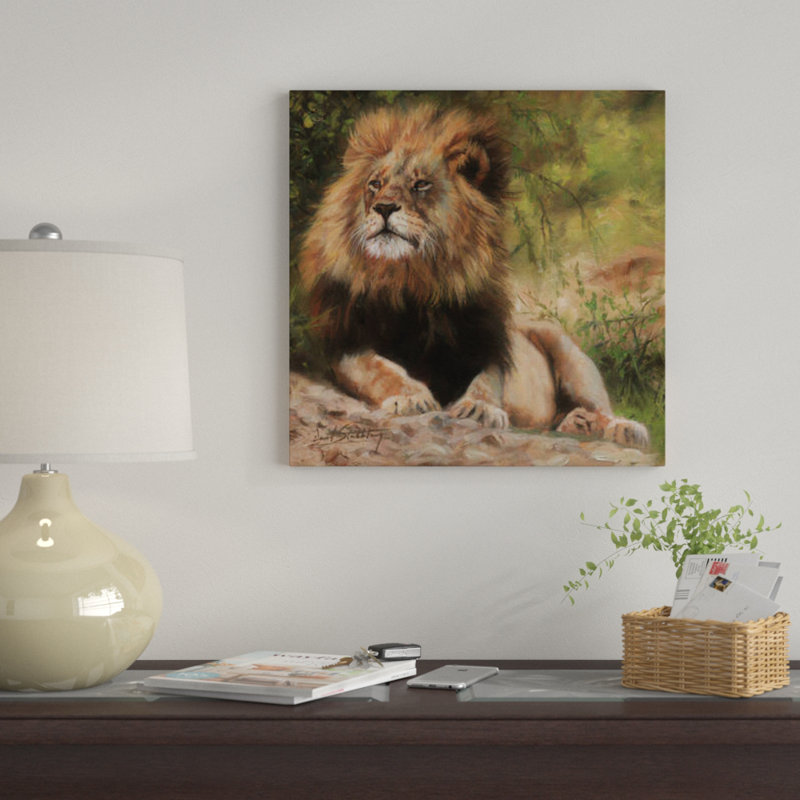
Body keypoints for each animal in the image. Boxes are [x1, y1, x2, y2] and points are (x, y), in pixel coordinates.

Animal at [298, 103, 648, 449]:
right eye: (374, 184)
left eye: (420, 185)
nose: (384, 207)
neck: (414, 280)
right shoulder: (346, 345)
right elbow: (379, 369)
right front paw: (410, 397)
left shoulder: (489, 343)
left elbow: (488, 380)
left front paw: (480, 408)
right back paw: (577, 423)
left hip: (571, 356)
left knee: (599, 406)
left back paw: (622, 428)